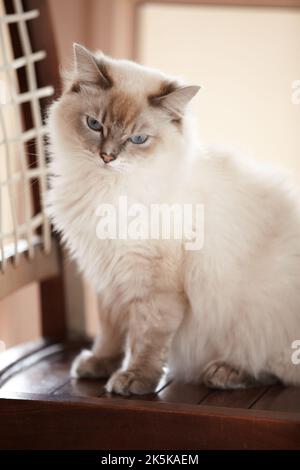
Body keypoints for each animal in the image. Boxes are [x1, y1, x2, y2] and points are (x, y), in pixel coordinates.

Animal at [47, 44, 300, 394]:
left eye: (138, 140)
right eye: (94, 125)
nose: (107, 157)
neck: (107, 191)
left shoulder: (154, 285)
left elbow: (146, 339)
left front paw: (134, 379)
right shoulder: (107, 278)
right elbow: (110, 333)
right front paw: (99, 364)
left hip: (259, 316)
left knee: (273, 369)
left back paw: (224, 372)